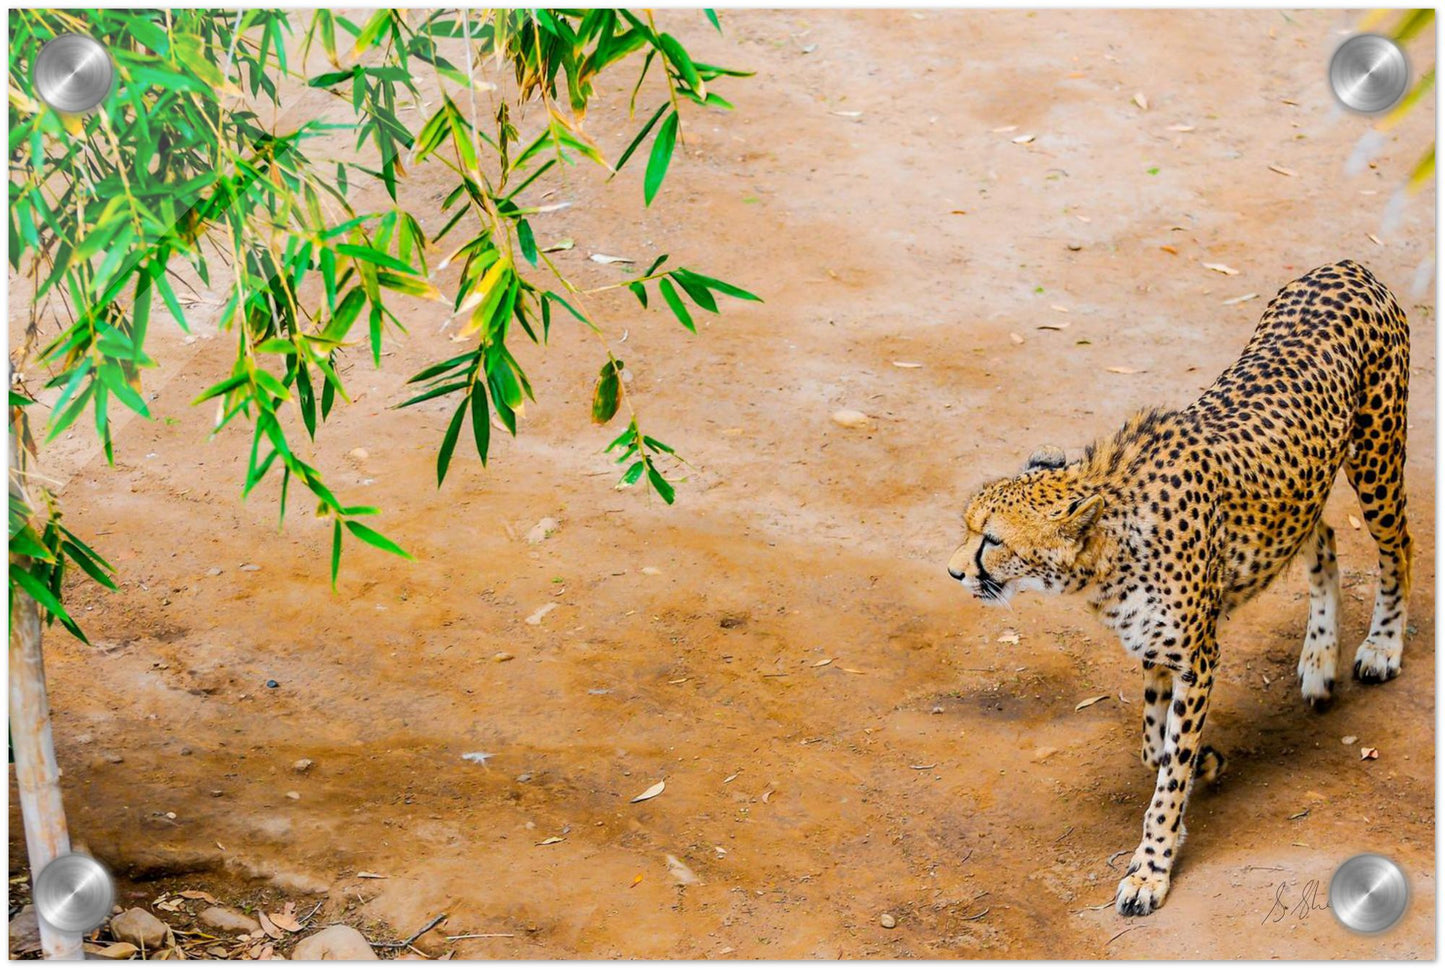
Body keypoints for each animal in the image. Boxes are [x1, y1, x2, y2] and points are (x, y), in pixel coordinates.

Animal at [947, 260, 1410, 919]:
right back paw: (1320, 658)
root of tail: (1345, 265)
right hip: (1304, 493)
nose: (955, 572)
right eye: (969, 529)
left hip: (1376, 459)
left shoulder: (1197, 656)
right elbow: (1154, 743)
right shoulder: (1156, 648)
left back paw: (1382, 647)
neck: (1108, 551)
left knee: (1400, 547)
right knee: (1319, 535)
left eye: (991, 540)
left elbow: (1167, 775)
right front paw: (1203, 763)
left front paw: (1150, 870)